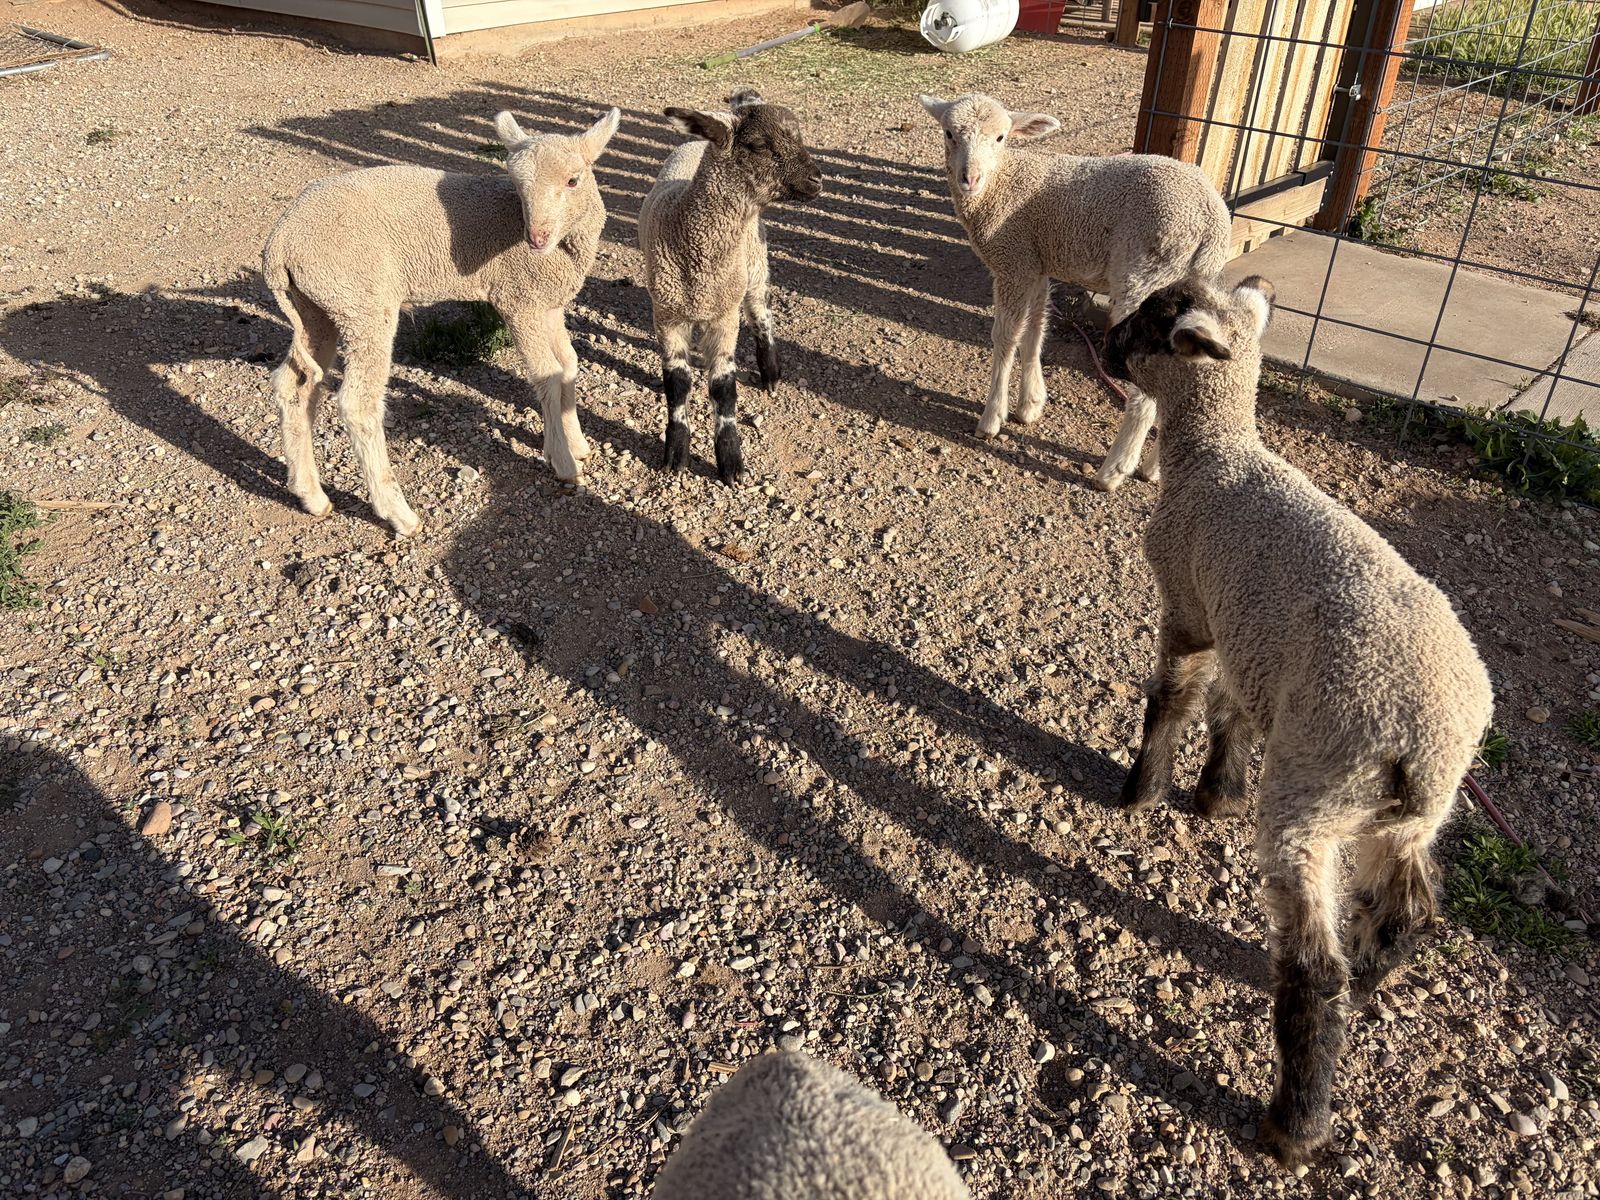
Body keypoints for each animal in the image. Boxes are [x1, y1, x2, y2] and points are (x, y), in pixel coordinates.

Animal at [262, 105, 621, 536]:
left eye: (573, 180)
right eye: (518, 187)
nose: (536, 238)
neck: (562, 250)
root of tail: (279, 245)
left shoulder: (547, 303)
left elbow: (568, 366)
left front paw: (574, 443)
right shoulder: (518, 299)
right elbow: (548, 375)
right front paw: (565, 465)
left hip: (317, 307)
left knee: (293, 386)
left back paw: (311, 495)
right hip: (361, 303)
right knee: (357, 403)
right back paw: (399, 514)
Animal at [638, 88, 822, 484]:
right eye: (759, 145)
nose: (818, 179)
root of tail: (695, 142)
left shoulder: (724, 317)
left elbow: (723, 389)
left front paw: (731, 463)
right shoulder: (666, 315)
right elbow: (676, 384)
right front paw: (675, 454)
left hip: (754, 266)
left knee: (760, 316)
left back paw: (770, 373)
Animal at [917, 92, 1231, 491]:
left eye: (1001, 137)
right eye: (949, 134)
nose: (969, 178)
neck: (1002, 182)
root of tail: (1211, 220)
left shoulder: (1013, 262)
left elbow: (1005, 337)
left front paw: (992, 417)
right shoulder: (1036, 264)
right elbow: (1035, 330)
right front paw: (1030, 404)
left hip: (1147, 272)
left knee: (1145, 388)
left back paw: (1115, 470)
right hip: (1190, 281)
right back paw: (1153, 468)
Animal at [1101, 274, 1494, 1167]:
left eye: (1148, 322)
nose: (1104, 339)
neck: (1218, 455)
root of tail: (1424, 745)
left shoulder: (1188, 604)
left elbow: (1173, 697)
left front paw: (1142, 790)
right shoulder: (1251, 637)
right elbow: (1230, 712)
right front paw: (1214, 794)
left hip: (1313, 790)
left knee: (1314, 974)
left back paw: (1294, 1124)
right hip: (1397, 817)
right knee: (1408, 909)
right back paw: (1376, 978)